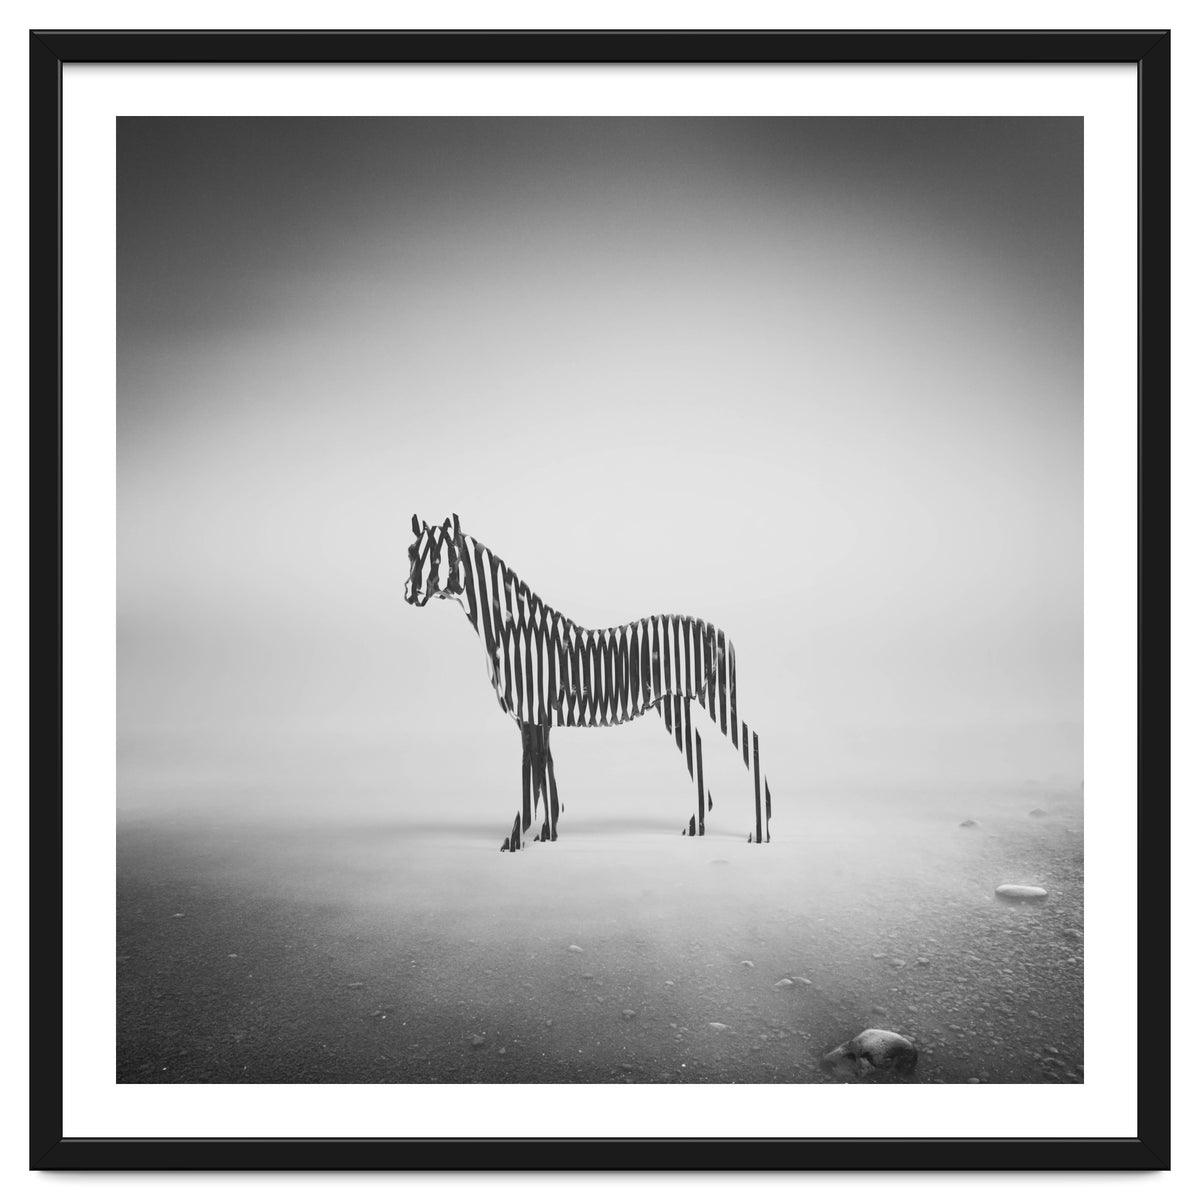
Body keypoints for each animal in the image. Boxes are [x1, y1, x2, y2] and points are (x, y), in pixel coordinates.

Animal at [404, 513, 772, 851]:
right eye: (410, 552)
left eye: (438, 558)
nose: (409, 593)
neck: (516, 633)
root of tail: (721, 632)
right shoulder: (537, 718)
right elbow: (545, 774)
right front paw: (547, 833)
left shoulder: (531, 714)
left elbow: (532, 778)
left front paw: (516, 838)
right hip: (674, 704)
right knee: (697, 747)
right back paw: (697, 825)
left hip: (715, 696)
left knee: (750, 741)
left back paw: (760, 830)